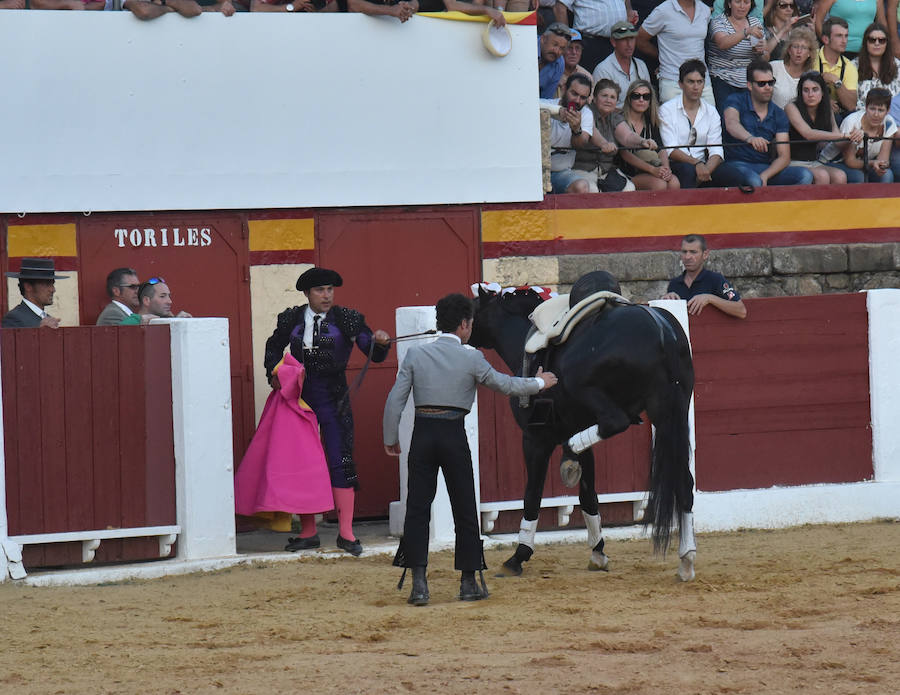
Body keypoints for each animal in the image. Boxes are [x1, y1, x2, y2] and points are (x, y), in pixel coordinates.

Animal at [468, 272, 700, 580]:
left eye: (471, 309)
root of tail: (662, 331)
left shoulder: (534, 439)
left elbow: (532, 496)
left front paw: (519, 555)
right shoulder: (584, 428)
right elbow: (589, 495)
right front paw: (598, 552)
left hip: (590, 391)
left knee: (615, 422)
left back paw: (568, 454)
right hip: (670, 414)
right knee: (684, 483)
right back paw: (686, 560)